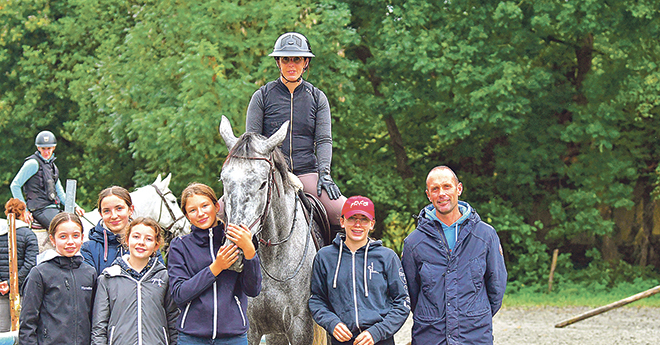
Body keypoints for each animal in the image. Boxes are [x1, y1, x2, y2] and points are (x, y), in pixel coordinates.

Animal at [220, 116, 326, 344]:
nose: (234, 252)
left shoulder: (300, 327)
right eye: (224, 180)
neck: (273, 255)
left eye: (262, 184)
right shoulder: (250, 328)